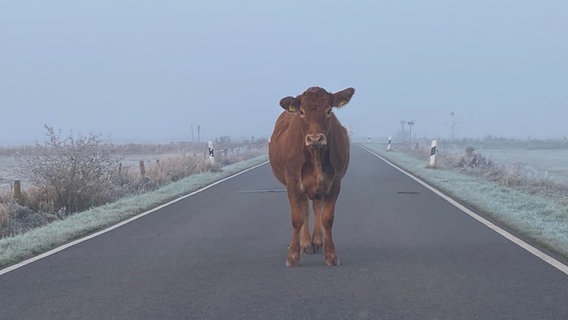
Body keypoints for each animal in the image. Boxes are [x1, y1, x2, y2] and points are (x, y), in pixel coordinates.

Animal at [270, 86, 356, 266]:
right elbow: (297, 218)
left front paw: (331, 254)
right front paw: (293, 255)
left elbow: (327, 218)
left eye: (328, 110)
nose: (315, 138)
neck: (315, 155)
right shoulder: (293, 183)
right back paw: (306, 243)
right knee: (305, 210)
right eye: (302, 112)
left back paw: (316, 241)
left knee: (316, 208)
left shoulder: (334, 183)